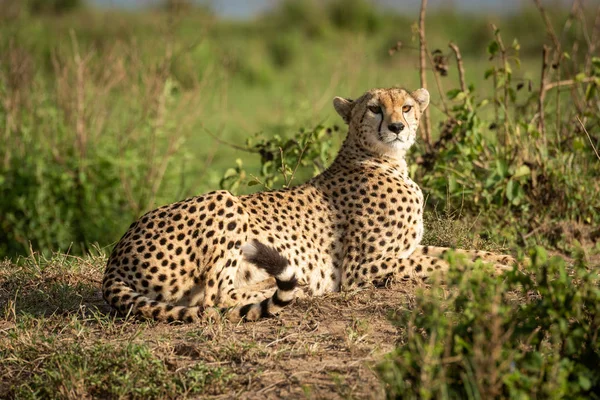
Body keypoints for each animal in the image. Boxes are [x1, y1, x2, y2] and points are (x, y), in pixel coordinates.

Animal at [104, 86, 516, 322]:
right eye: (374, 109)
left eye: (408, 107)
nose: (397, 127)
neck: (384, 159)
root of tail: (115, 257)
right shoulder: (363, 269)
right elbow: (449, 263)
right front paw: (503, 269)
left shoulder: (406, 249)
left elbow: (463, 254)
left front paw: (515, 261)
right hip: (224, 201)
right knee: (213, 298)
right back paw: (296, 288)